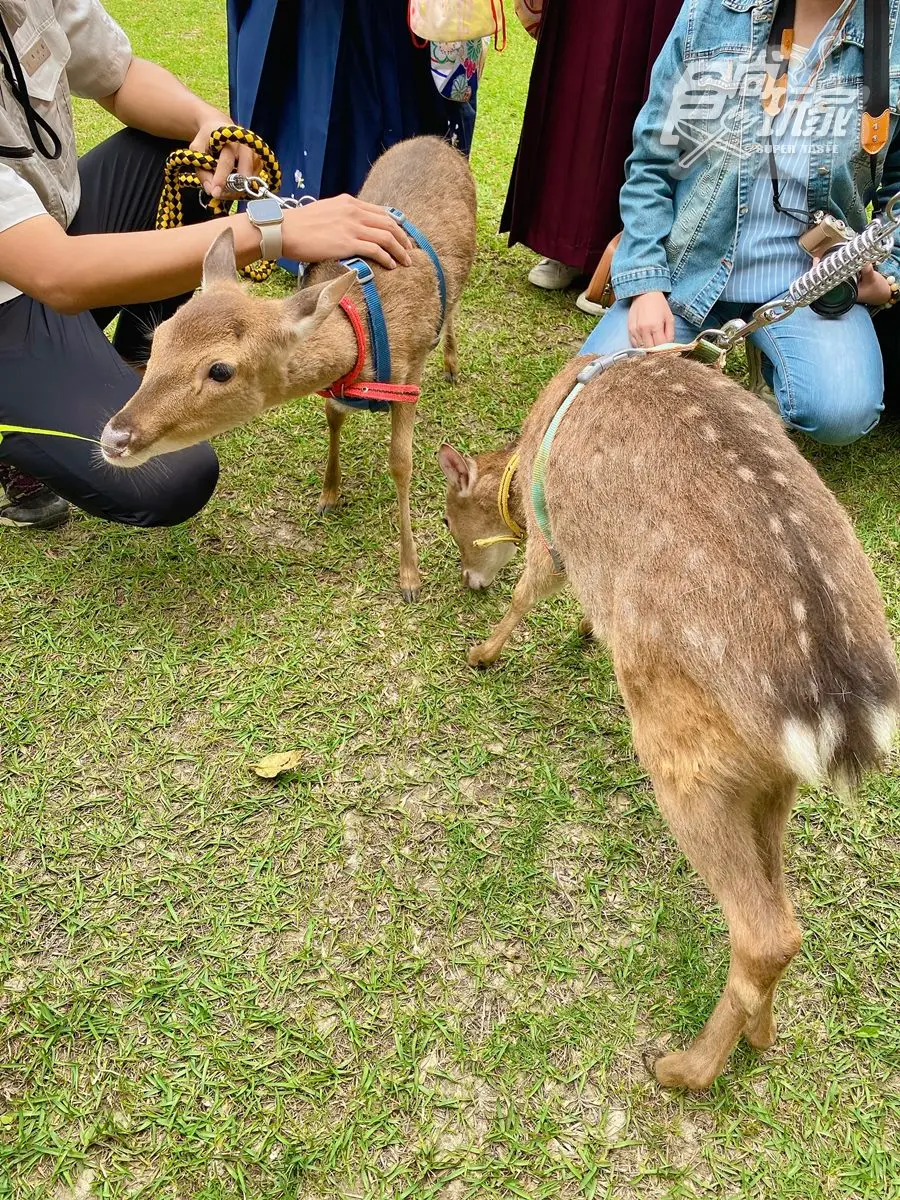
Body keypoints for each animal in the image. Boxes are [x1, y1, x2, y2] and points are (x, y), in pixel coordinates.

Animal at [100, 136, 477, 601]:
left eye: (220, 370)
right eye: (158, 336)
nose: (114, 438)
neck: (361, 345)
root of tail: (440, 140)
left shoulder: (409, 378)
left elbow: (401, 464)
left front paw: (410, 576)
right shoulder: (336, 390)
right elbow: (333, 418)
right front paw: (329, 495)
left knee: (454, 307)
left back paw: (452, 363)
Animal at [438, 350, 899, 1091]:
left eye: (452, 522)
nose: (466, 580)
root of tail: (840, 707)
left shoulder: (550, 540)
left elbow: (528, 593)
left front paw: (483, 652)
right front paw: (583, 633)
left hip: (688, 757)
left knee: (760, 931)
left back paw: (681, 1068)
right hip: (770, 776)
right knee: (786, 919)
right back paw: (760, 1036)